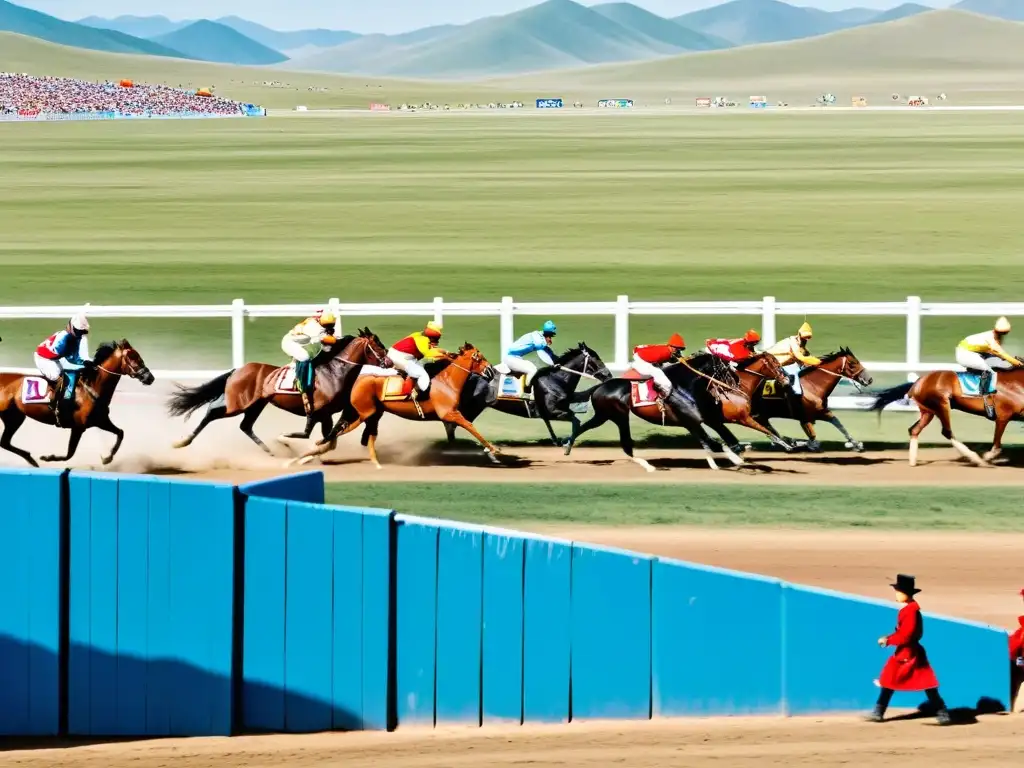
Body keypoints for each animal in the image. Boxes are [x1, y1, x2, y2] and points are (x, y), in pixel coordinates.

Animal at [0, 342, 153, 468]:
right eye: (132, 358)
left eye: (139, 356)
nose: (149, 377)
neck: (92, 388)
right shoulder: (78, 427)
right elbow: (70, 453)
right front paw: (48, 457)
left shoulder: (101, 420)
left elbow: (120, 432)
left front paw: (107, 458)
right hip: (12, 417)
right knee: (4, 442)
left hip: (14, 417)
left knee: (4, 442)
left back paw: (30, 459)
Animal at [165, 327, 389, 454]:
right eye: (378, 346)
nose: (389, 361)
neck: (334, 372)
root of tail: (238, 369)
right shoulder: (317, 411)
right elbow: (310, 434)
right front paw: (284, 439)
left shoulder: (326, 414)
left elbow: (328, 437)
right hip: (238, 403)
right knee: (212, 412)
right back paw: (182, 442)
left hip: (255, 405)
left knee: (245, 426)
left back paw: (269, 450)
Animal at [290, 344, 497, 468]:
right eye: (478, 357)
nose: (492, 371)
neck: (446, 381)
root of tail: (357, 381)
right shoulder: (449, 414)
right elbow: (471, 427)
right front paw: (494, 450)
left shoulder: (452, 416)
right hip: (363, 414)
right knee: (338, 432)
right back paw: (306, 455)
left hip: (373, 414)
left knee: (364, 436)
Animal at [438, 342, 606, 444]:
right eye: (596, 359)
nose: (608, 374)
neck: (556, 379)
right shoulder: (553, 411)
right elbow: (574, 419)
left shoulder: (557, 408)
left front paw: (558, 441)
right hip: (470, 406)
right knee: (451, 424)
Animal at [868, 362, 1024, 466]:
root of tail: (918, 382)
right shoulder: (1003, 417)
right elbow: (997, 443)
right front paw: (988, 457)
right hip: (941, 404)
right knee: (947, 432)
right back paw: (975, 458)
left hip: (928, 411)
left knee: (914, 430)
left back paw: (912, 461)